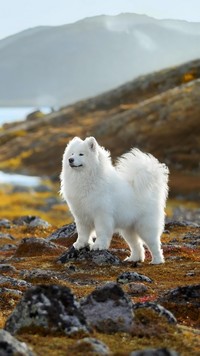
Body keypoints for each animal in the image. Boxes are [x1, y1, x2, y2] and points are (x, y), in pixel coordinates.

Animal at [60, 136, 169, 264]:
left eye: (81, 154)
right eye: (72, 153)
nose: (70, 160)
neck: (85, 178)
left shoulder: (102, 215)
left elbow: (101, 232)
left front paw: (98, 246)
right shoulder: (81, 215)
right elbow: (82, 232)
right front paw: (80, 244)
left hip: (145, 226)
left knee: (154, 244)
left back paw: (157, 261)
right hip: (128, 229)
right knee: (137, 245)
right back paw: (133, 258)